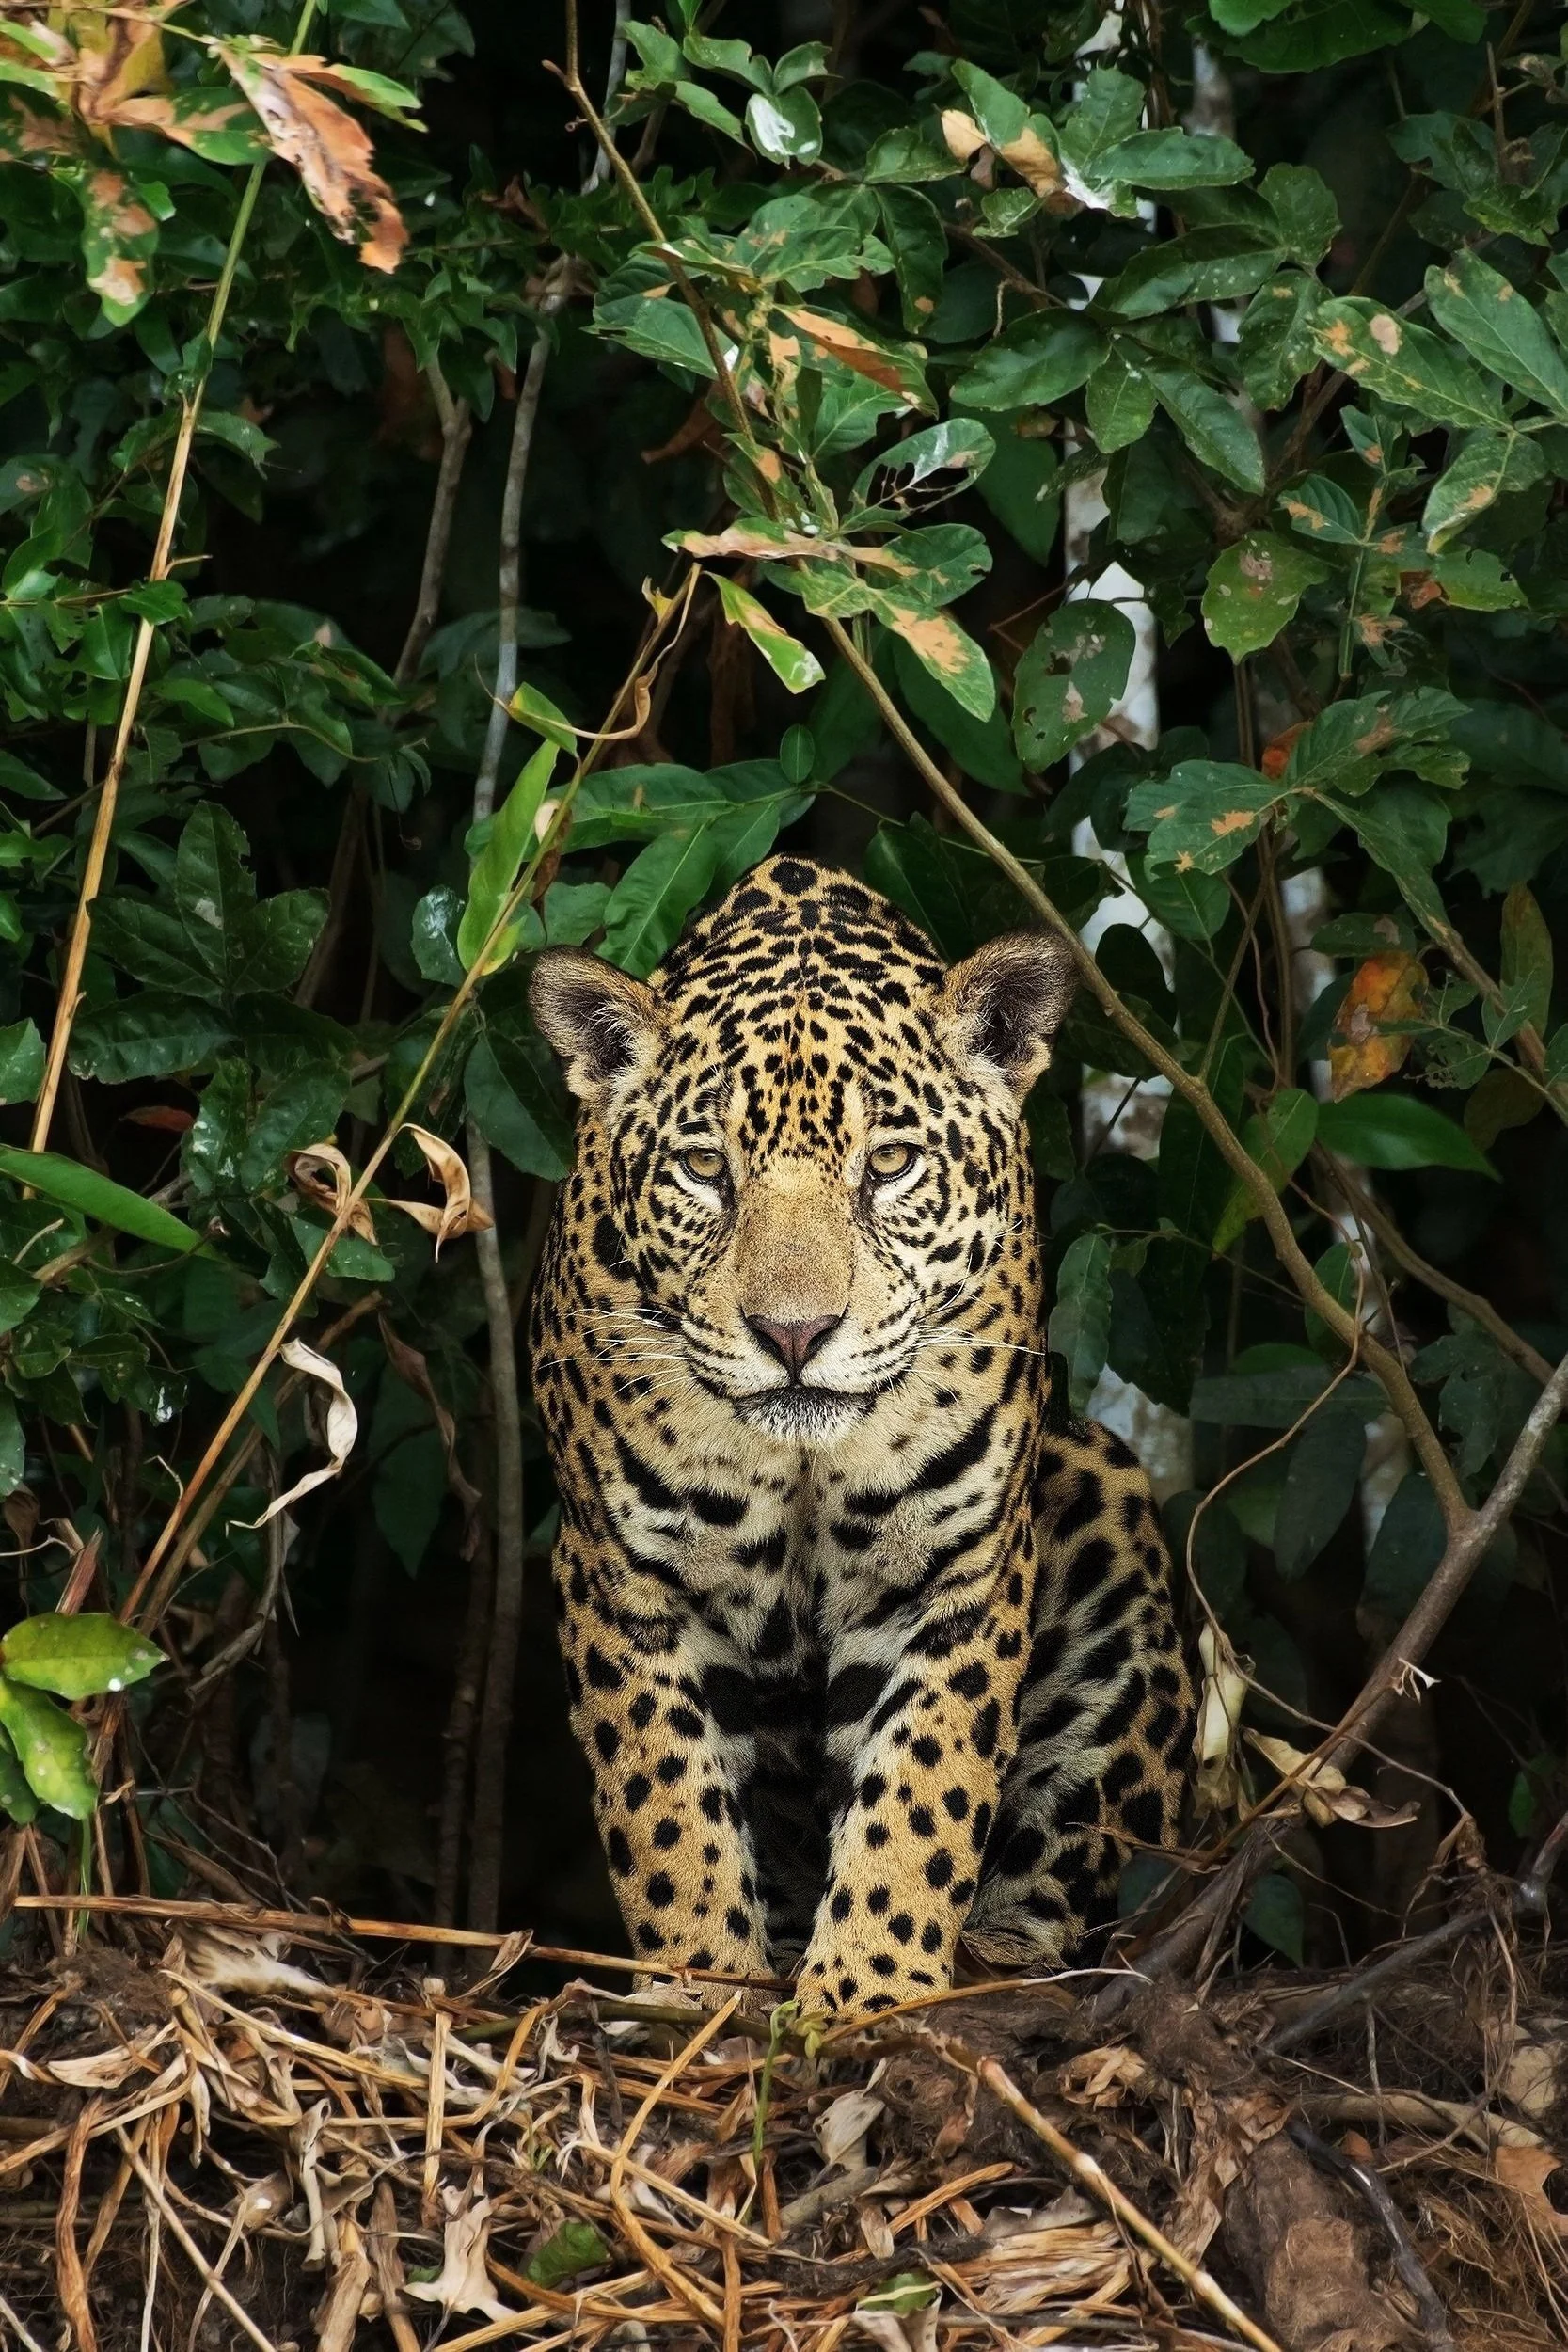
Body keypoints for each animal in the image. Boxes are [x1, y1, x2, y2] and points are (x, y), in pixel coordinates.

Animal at [528, 853, 1194, 2017]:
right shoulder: (622, 1579)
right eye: (704, 1168)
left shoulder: (951, 1574)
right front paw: (701, 1987)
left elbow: (923, 1790)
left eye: (887, 1164)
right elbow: (665, 1802)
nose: (794, 1332)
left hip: (1104, 1510)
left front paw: (870, 1989)